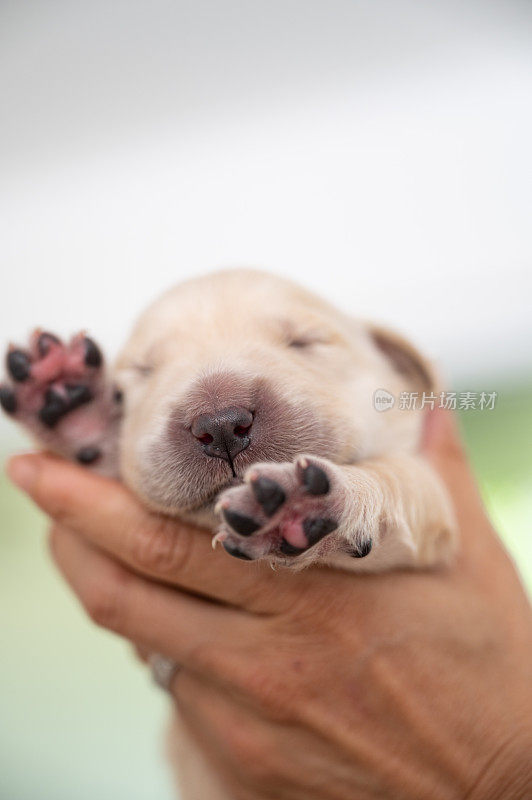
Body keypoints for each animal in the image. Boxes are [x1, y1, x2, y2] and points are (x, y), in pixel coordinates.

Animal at [2, 270, 456, 576]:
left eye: (305, 341)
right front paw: (74, 404)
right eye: (142, 371)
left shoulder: (437, 531)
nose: (221, 425)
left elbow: (403, 480)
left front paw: (309, 502)